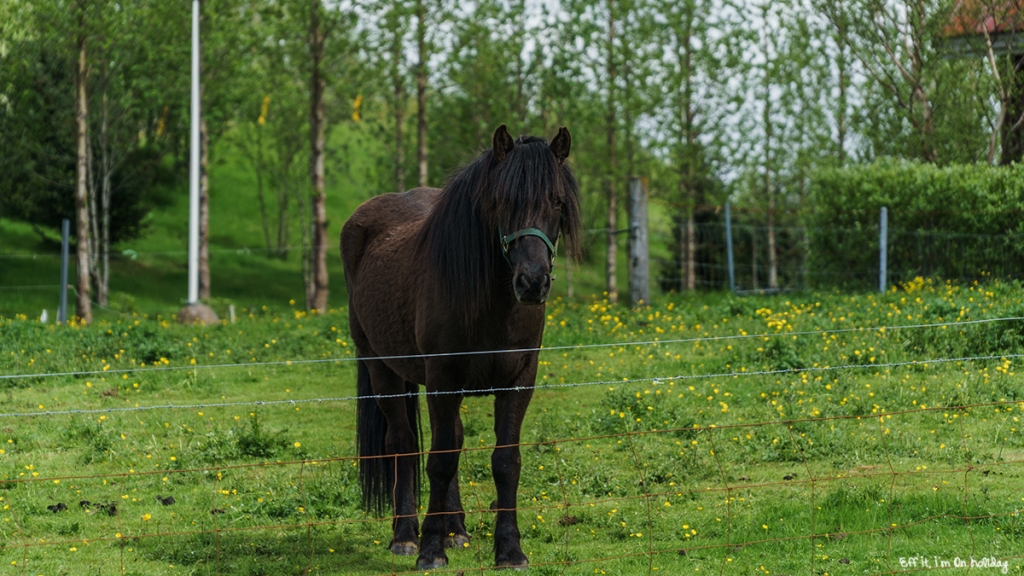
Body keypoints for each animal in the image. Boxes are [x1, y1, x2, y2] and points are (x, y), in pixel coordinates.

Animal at [344, 123, 581, 565]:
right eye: (503, 201)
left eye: (557, 202)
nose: (532, 282)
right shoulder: (442, 377)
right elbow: (438, 461)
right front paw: (429, 551)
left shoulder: (518, 381)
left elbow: (504, 461)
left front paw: (510, 550)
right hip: (381, 367)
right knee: (403, 443)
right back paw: (405, 535)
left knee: (451, 440)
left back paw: (456, 529)